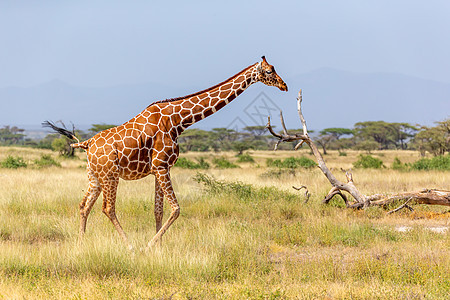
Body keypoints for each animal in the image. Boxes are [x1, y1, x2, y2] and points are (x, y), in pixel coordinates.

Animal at [44, 56, 286, 251]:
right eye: (268, 71)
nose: (284, 85)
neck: (178, 121)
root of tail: (87, 143)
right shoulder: (161, 166)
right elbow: (176, 209)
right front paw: (150, 245)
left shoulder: (159, 169)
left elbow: (158, 210)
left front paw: (158, 246)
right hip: (110, 175)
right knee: (108, 208)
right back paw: (130, 246)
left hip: (94, 176)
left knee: (84, 206)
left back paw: (81, 243)